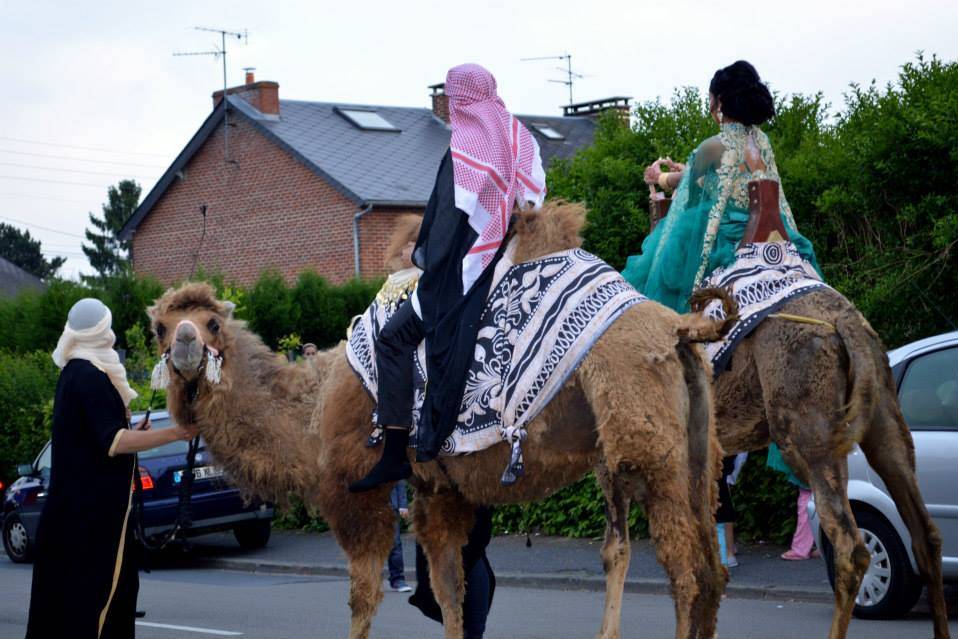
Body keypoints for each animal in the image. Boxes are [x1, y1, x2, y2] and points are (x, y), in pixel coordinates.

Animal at [152, 204, 736, 639]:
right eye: (160, 326)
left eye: (211, 322)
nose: (185, 343)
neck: (313, 411)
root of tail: (680, 327)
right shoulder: (438, 490)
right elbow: (452, 590)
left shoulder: (357, 489)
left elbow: (364, 596)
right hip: (690, 445)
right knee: (703, 566)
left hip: (642, 439)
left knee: (683, 568)